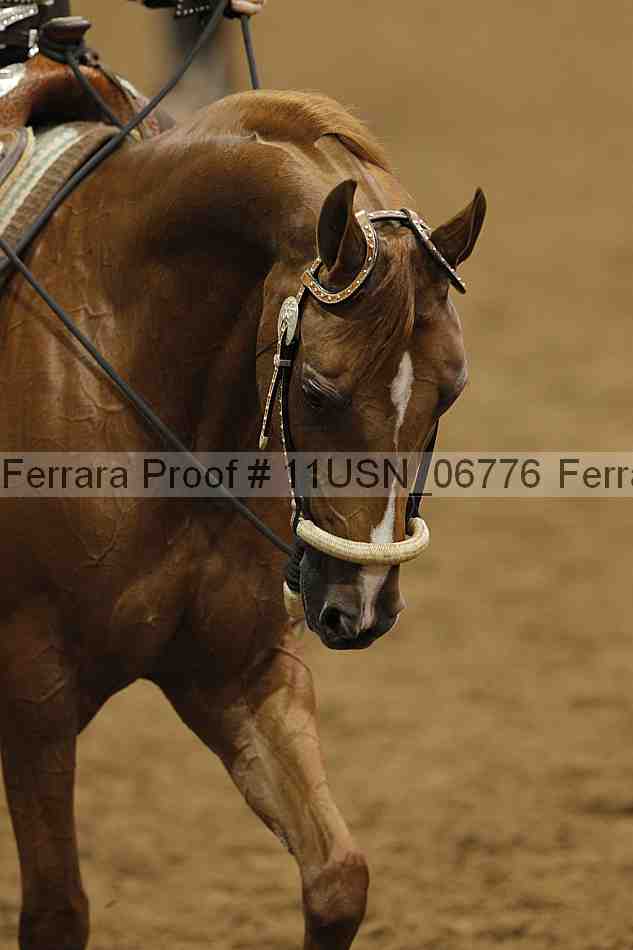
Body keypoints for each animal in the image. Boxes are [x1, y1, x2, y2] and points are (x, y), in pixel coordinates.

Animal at [0, 89, 485, 950]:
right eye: (317, 390)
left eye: (451, 389)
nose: (361, 607)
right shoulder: (33, 693)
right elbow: (57, 913)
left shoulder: (240, 670)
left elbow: (337, 879)